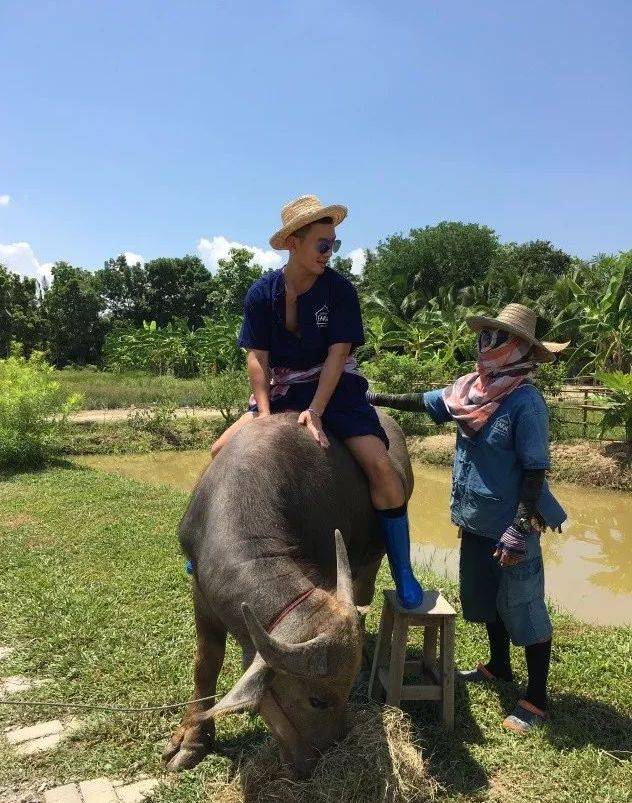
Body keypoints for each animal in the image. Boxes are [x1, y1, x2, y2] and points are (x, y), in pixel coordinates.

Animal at [163, 412, 412, 776]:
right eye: (317, 700)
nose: (328, 751)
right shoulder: (201, 592)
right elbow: (206, 662)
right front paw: (192, 741)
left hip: (373, 555)